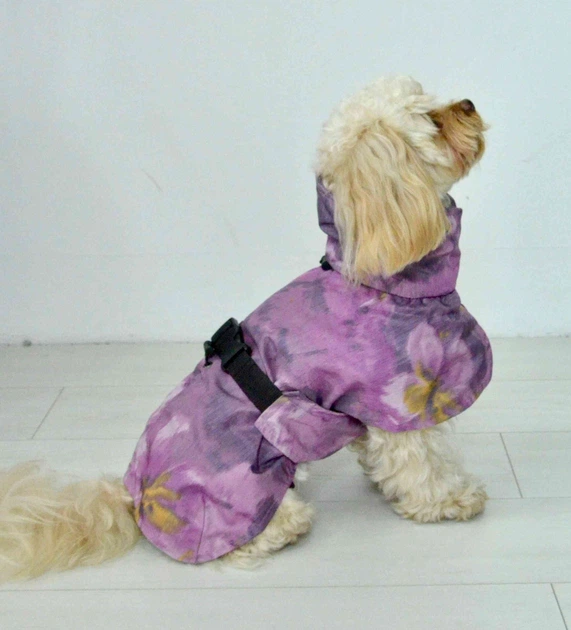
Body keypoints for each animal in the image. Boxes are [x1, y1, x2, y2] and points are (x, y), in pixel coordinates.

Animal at [0, 75, 491, 580]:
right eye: (431, 119)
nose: (470, 103)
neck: (381, 279)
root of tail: (131, 497)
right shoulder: (402, 399)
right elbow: (422, 465)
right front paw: (451, 499)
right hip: (245, 487)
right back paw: (281, 530)